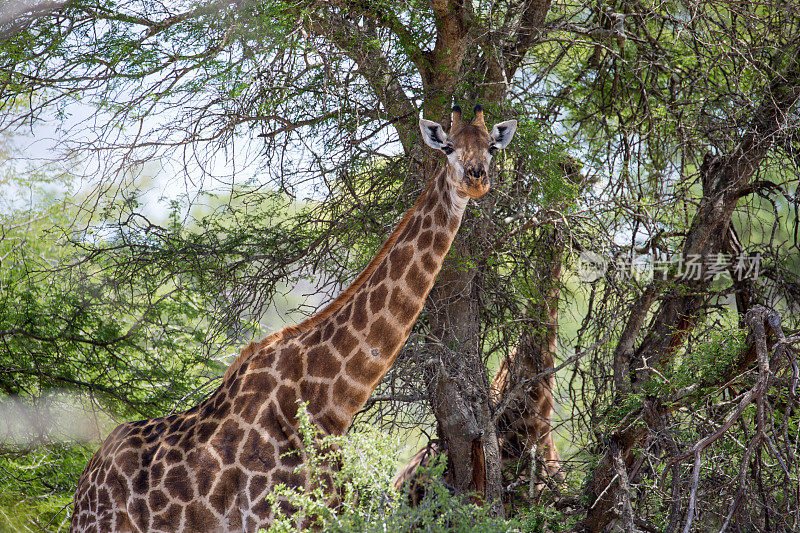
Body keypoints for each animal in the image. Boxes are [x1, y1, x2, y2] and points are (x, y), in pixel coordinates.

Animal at [69, 105, 520, 532]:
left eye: (491, 148)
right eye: (448, 147)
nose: (476, 179)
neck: (331, 404)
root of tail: (85, 480)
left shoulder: (325, 516)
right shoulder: (265, 518)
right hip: (99, 526)